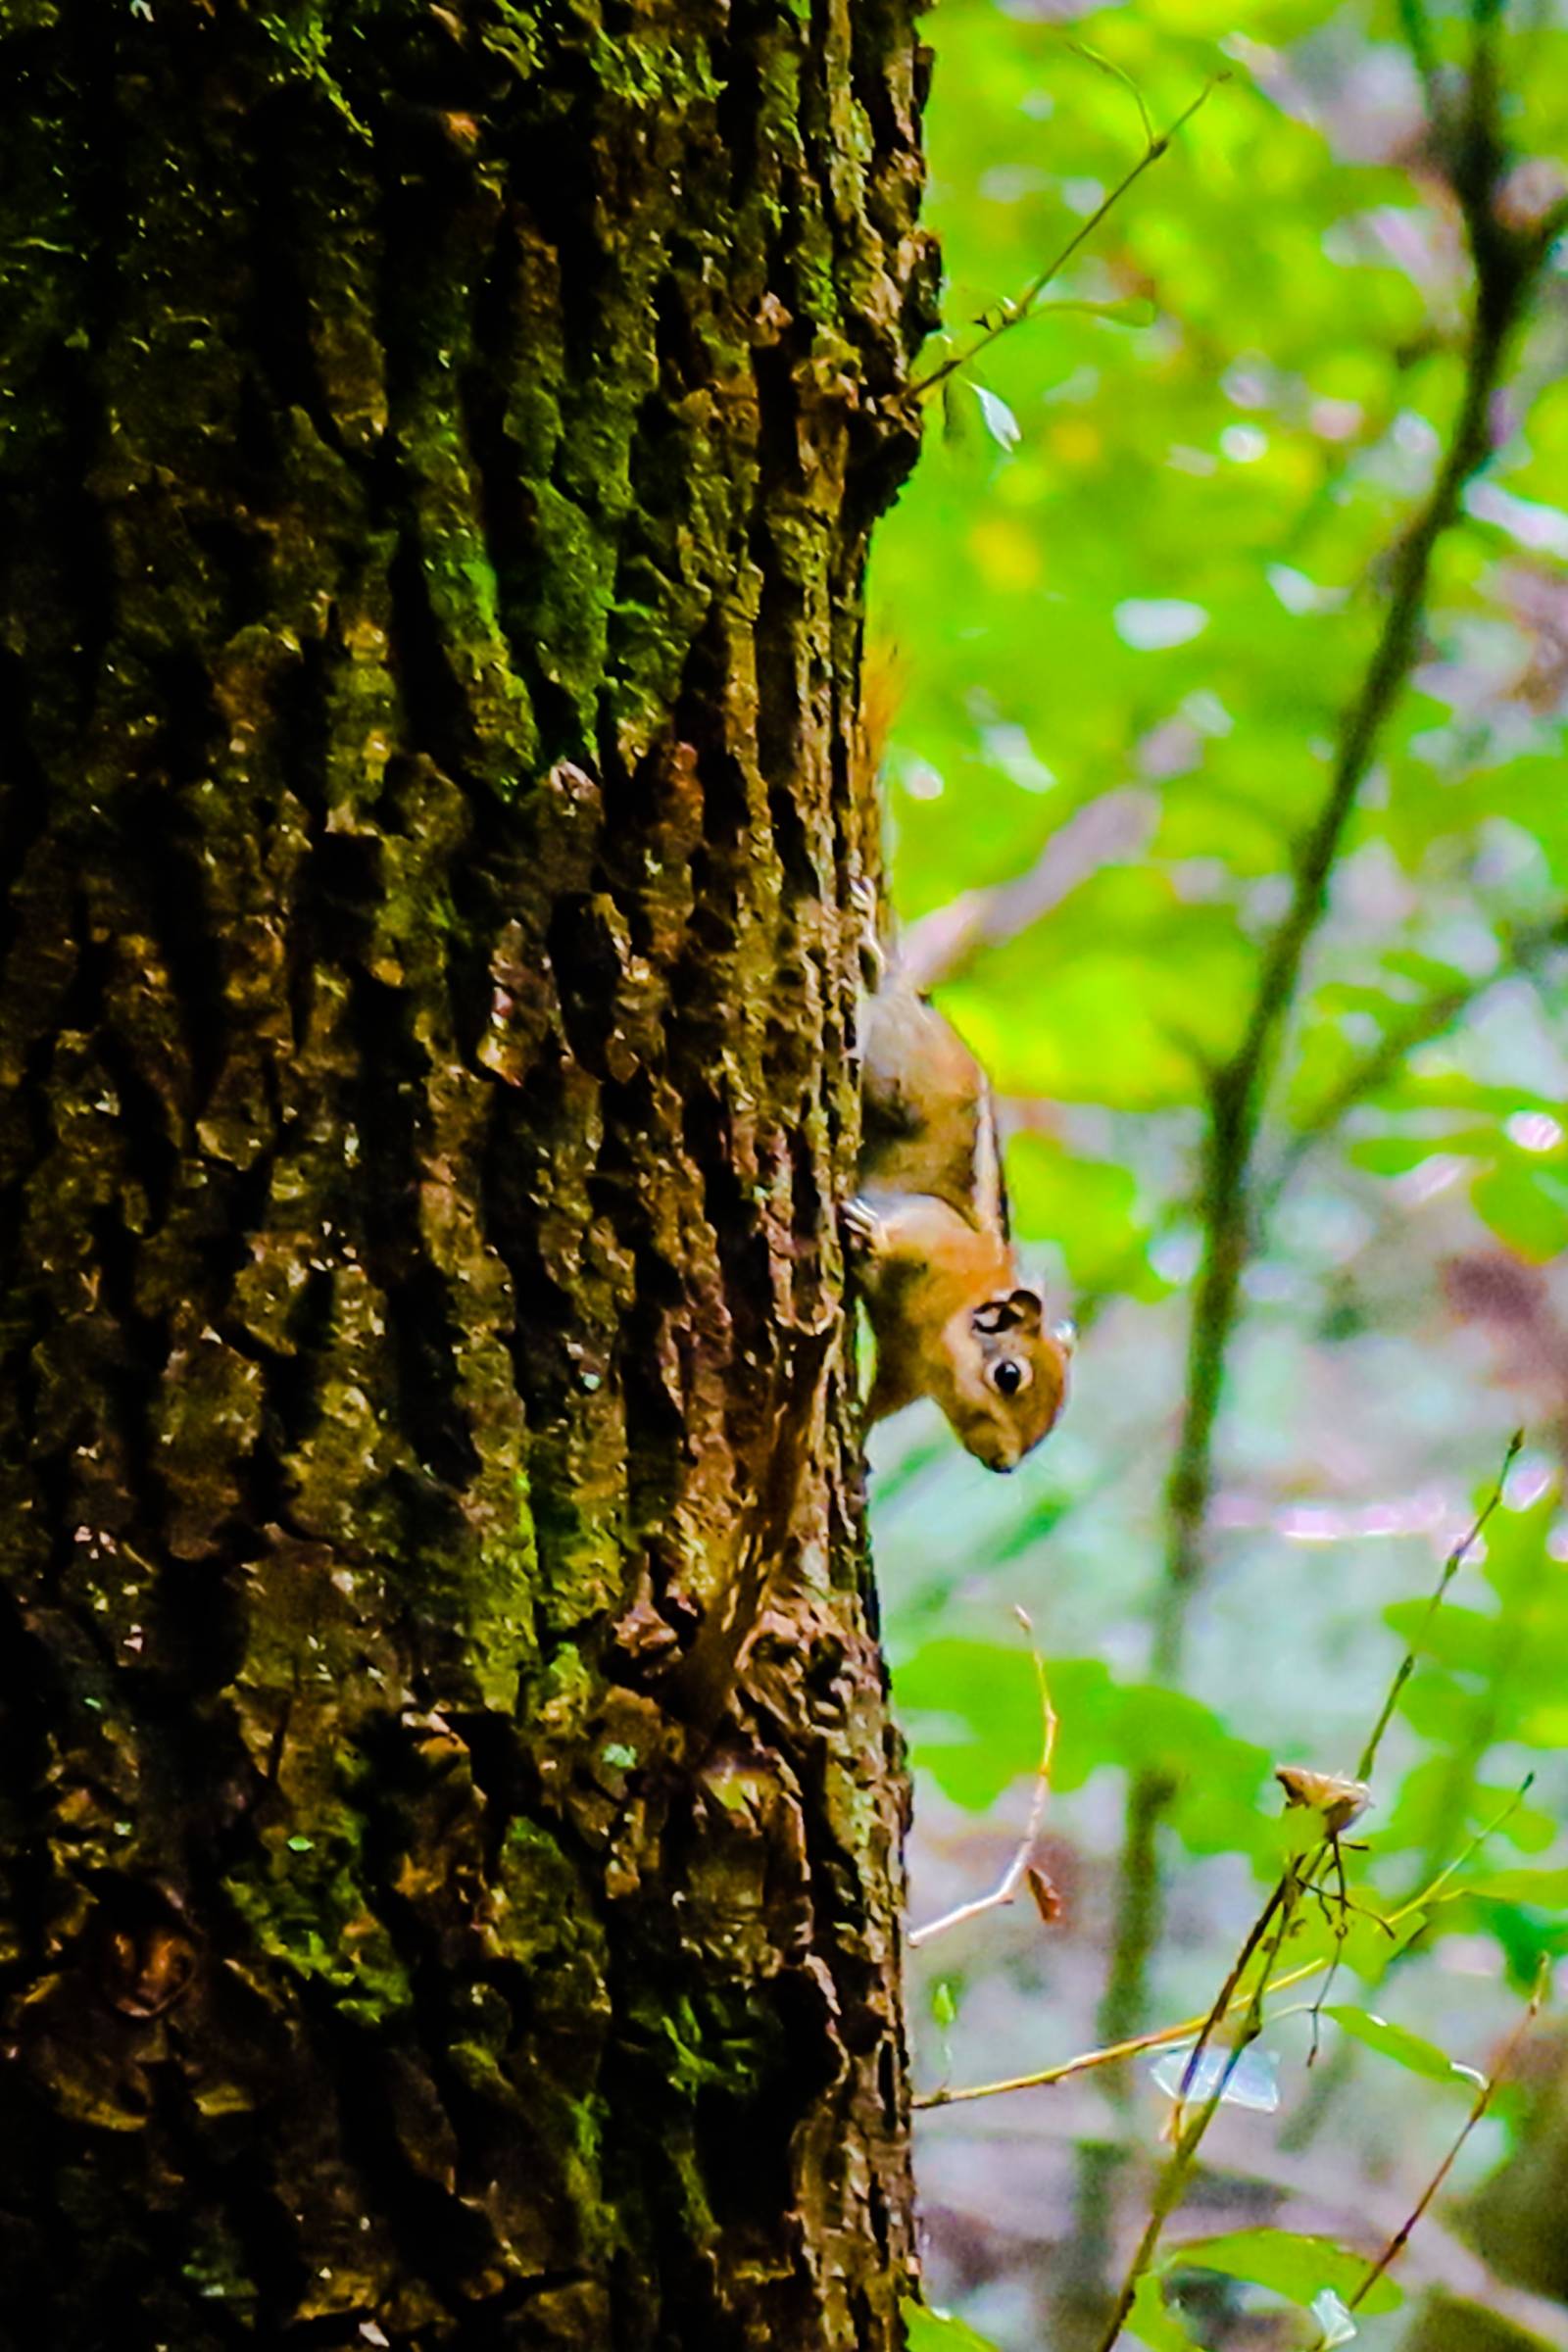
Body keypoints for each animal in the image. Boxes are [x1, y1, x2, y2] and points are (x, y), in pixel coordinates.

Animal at [846, 894, 1081, 1467]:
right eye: (1009, 1375)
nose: (1005, 1466)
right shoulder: (937, 1235)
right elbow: (907, 1226)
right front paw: (872, 1233)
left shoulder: (905, 1370)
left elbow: (880, 1402)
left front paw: (857, 1435)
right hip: (895, 1076)